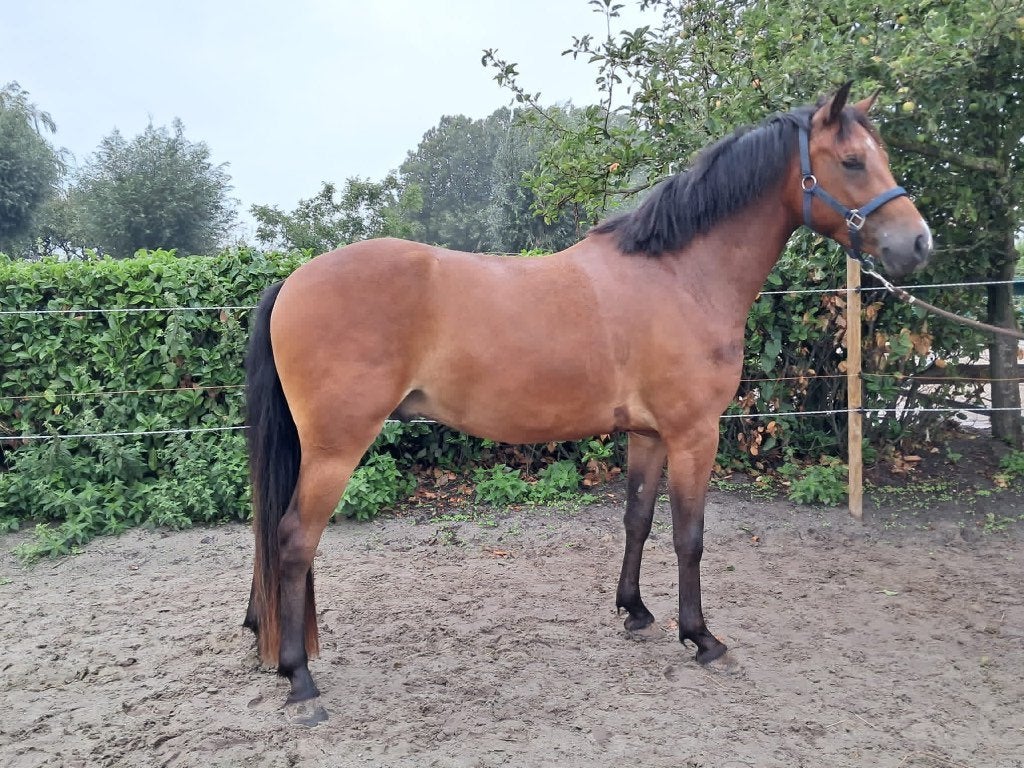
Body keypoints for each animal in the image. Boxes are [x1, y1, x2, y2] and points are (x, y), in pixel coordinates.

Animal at [242, 82, 932, 721]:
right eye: (851, 161)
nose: (918, 243)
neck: (680, 276)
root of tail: (294, 280)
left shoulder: (649, 435)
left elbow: (638, 519)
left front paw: (635, 611)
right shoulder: (694, 434)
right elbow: (689, 536)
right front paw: (701, 637)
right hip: (336, 448)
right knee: (295, 539)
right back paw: (300, 679)